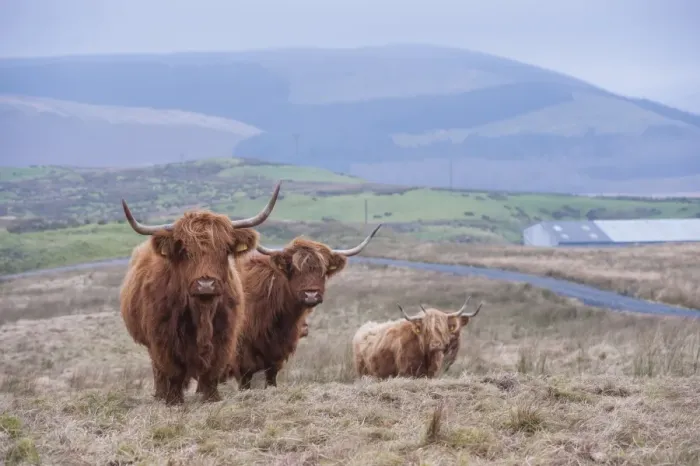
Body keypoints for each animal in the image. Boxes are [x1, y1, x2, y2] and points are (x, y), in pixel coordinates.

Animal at [119, 182, 281, 405]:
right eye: (185, 252)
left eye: (224, 250)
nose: (206, 284)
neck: (202, 311)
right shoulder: (163, 338)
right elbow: (173, 371)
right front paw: (174, 400)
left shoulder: (224, 337)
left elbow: (212, 370)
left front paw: (212, 397)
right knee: (158, 370)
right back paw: (160, 395)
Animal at [218, 225, 382, 390]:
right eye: (294, 269)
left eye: (323, 271)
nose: (311, 295)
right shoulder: (241, 357)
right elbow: (245, 382)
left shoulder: (276, 355)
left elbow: (271, 379)